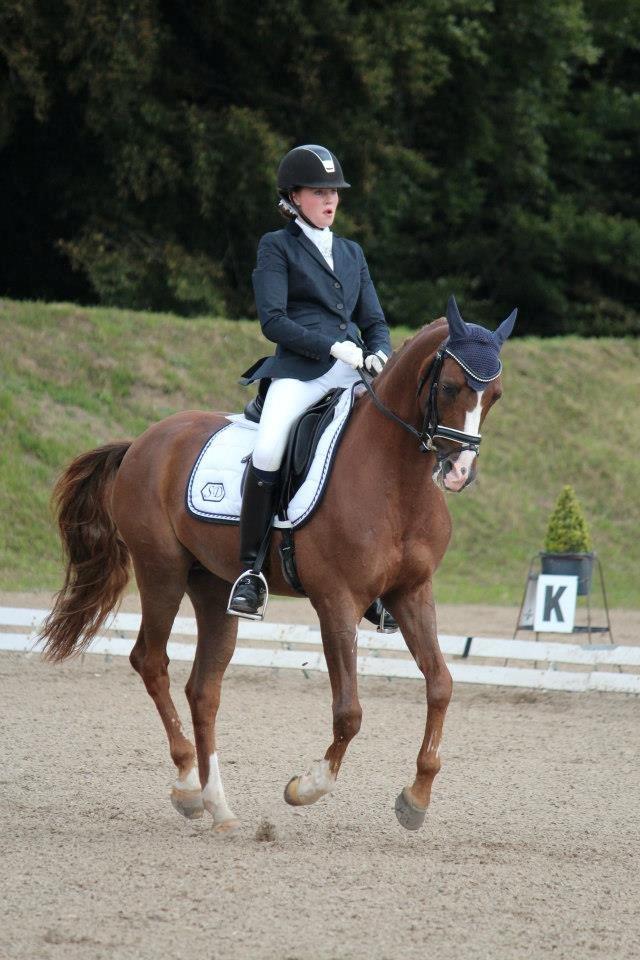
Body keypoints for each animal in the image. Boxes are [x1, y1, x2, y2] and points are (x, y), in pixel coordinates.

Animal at [40, 296, 516, 832]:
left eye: (495, 396)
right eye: (451, 386)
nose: (458, 473)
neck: (397, 480)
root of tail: (143, 441)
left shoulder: (411, 592)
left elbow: (441, 685)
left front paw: (415, 798)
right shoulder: (336, 601)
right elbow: (349, 711)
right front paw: (306, 788)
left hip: (213, 586)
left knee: (203, 689)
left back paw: (220, 808)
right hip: (160, 570)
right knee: (151, 661)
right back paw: (187, 787)